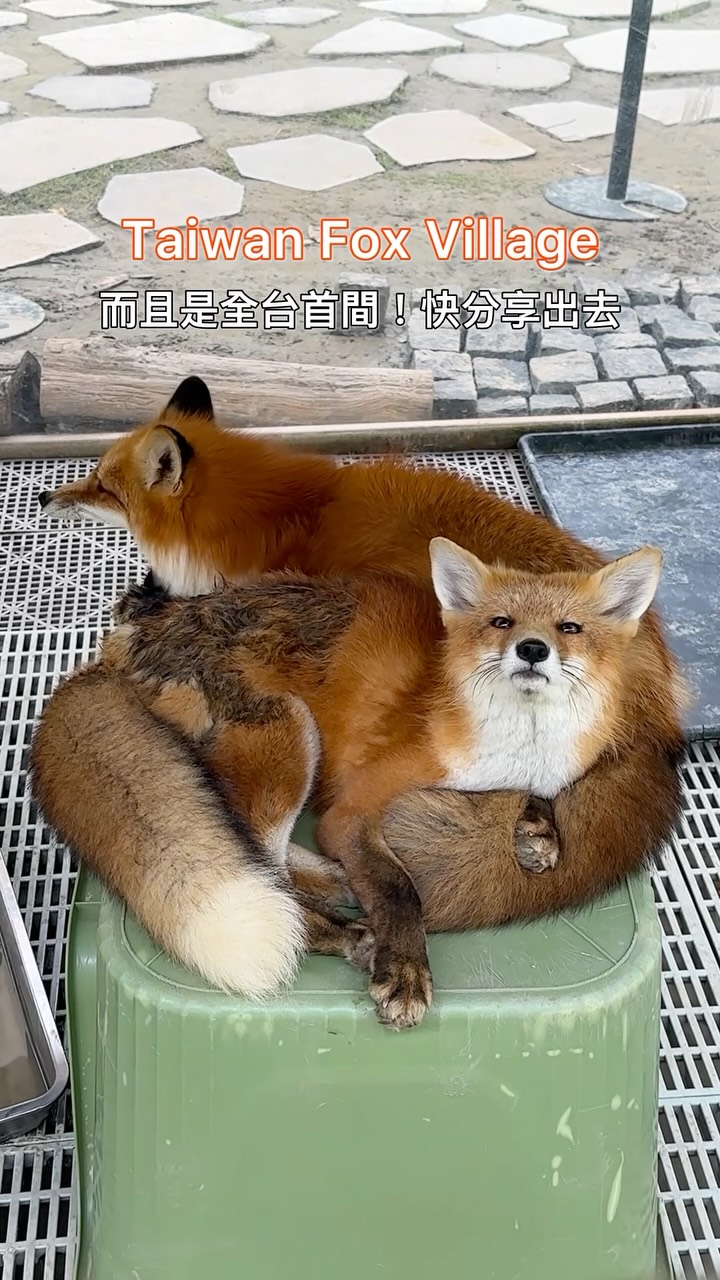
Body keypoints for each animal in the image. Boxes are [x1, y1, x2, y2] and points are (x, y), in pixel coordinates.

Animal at [32, 537, 665, 1029]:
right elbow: (397, 886)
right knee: (270, 870)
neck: (514, 741)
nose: (532, 649)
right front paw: (405, 969)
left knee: (276, 861)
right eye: (501, 622)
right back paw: (341, 930)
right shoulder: (353, 809)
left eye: (569, 628)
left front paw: (538, 830)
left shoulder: (535, 772)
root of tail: (122, 646)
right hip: (291, 734)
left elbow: (537, 795)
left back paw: (337, 885)